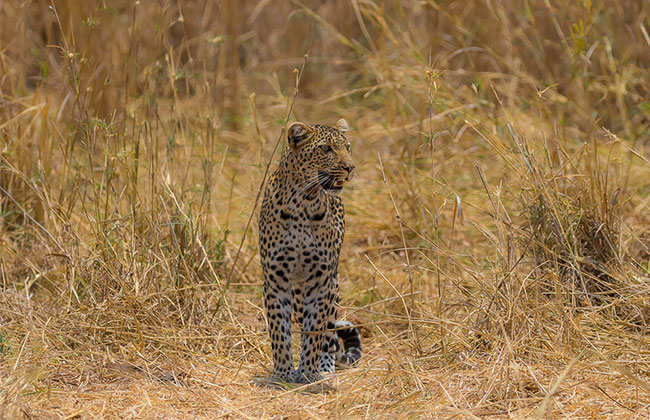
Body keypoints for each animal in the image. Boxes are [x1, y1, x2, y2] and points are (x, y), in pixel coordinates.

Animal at [256, 118, 360, 384]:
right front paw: (283, 373)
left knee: (329, 334)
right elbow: (279, 330)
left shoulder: (321, 280)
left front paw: (307, 373)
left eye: (347, 147)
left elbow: (315, 331)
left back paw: (325, 367)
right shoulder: (276, 279)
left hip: (332, 287)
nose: (350, 167)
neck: (303, 202)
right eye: (326, 149)